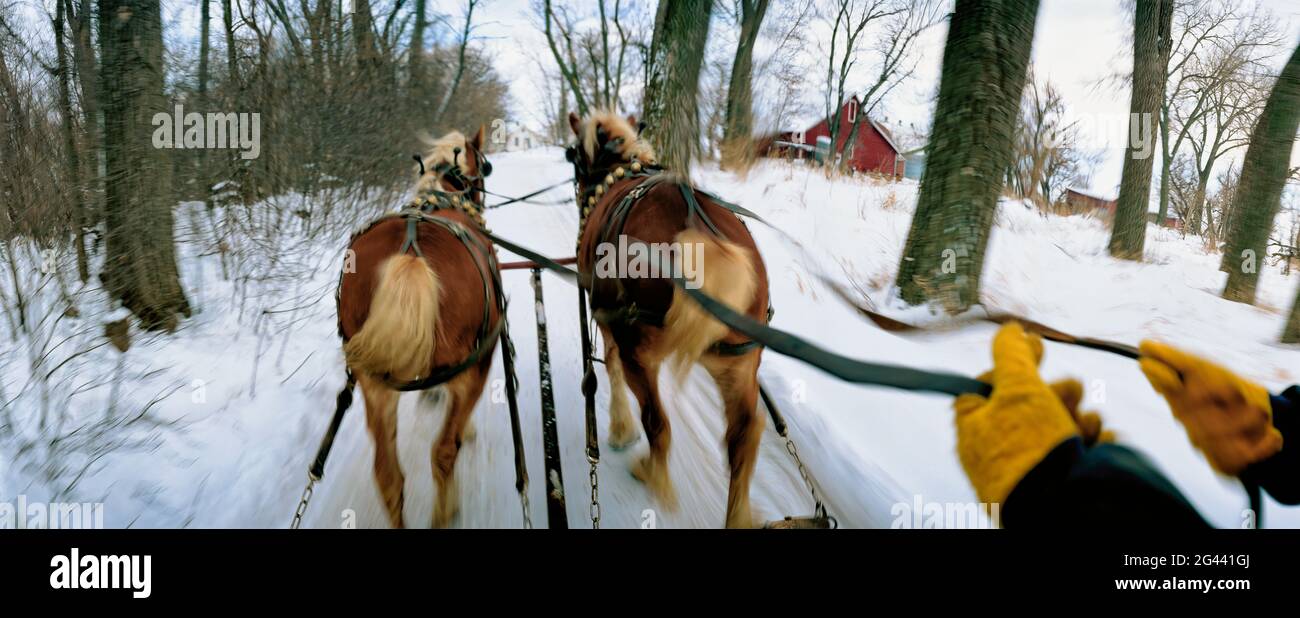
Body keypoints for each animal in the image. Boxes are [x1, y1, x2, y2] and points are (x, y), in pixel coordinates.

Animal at [332, 128, 499, 530]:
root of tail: (410, 253)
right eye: (484, 165)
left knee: (387, 475)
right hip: (475, 365)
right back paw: (445, 511)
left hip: (373, 382)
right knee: (443, 452)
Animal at [569, 109, 769, 528]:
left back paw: (649, 471)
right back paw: (739, 515)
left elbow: (610, 365)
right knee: (744, 436)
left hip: (640, 351)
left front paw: (620, 429)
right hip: (739, 362)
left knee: (658, 423)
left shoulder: (608, 321)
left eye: (571, 154)